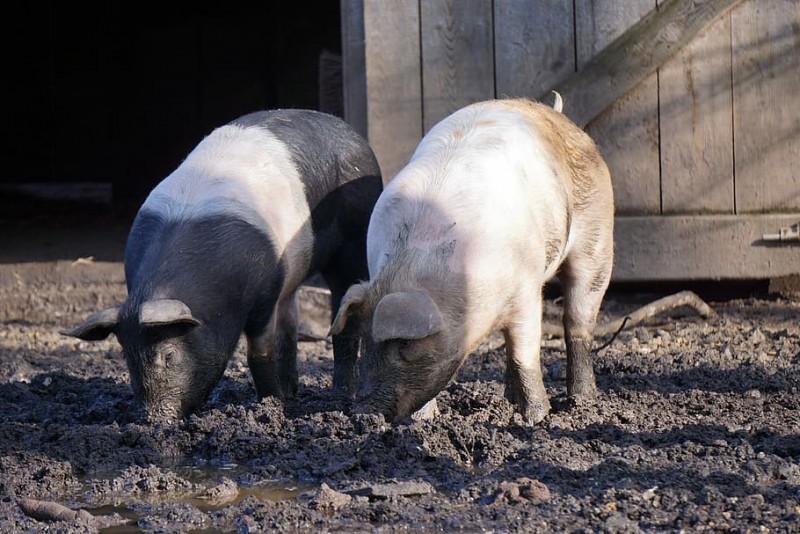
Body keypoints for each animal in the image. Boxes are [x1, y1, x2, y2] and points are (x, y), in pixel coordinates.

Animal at [62, 110, 382, 422]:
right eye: (126, 356)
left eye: (169, 355)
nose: (153, 419)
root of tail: (352, 133)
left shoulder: (265, 291)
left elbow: (260, 353)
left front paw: (270, 407)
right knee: (290, 322)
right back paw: (292, 393)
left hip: (354, 240)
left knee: (342, 313)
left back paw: (338, 395)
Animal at [328, 99, 616, 428]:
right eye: (365, 339)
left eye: (404, 345)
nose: (362, 412)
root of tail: (557, 115)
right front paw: (424, 421)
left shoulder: (526, 290)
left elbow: (524, 355)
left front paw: (536, 419)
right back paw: (509, 400)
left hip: (598, 240)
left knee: (578, 322)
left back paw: (582, 401)